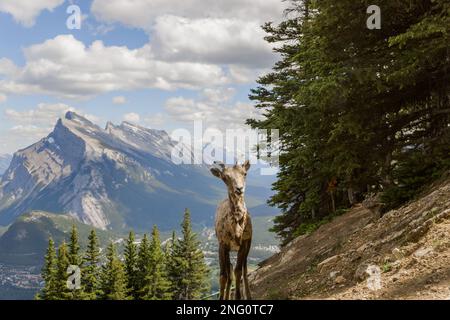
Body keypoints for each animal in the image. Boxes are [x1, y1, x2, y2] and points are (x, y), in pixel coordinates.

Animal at [212, 160, 253, 300]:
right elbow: (223, 276)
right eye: (225, 177)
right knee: (228, 273)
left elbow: (238, 271)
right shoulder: (223, 244)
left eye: (244, 173)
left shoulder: (244, 243)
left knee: (244, 270)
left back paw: (248, 296)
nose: (239, 189)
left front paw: (239, 297)